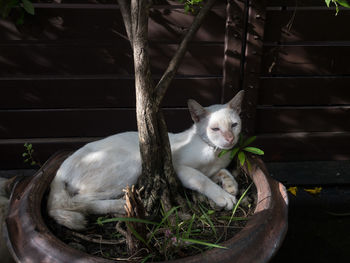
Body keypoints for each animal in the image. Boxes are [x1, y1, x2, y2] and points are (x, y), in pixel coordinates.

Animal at [47, 91, 243, 231]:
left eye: (234, 125)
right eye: (215, 129)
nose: (230, 139)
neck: (214, 152)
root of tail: (60, 171)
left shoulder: (213, 167)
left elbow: (221, 172)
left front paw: (231, 185)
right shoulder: (177, 166)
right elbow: (202, 180)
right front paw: (224, 196)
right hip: (134, 164)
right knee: (74, 202)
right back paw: (120, 206)